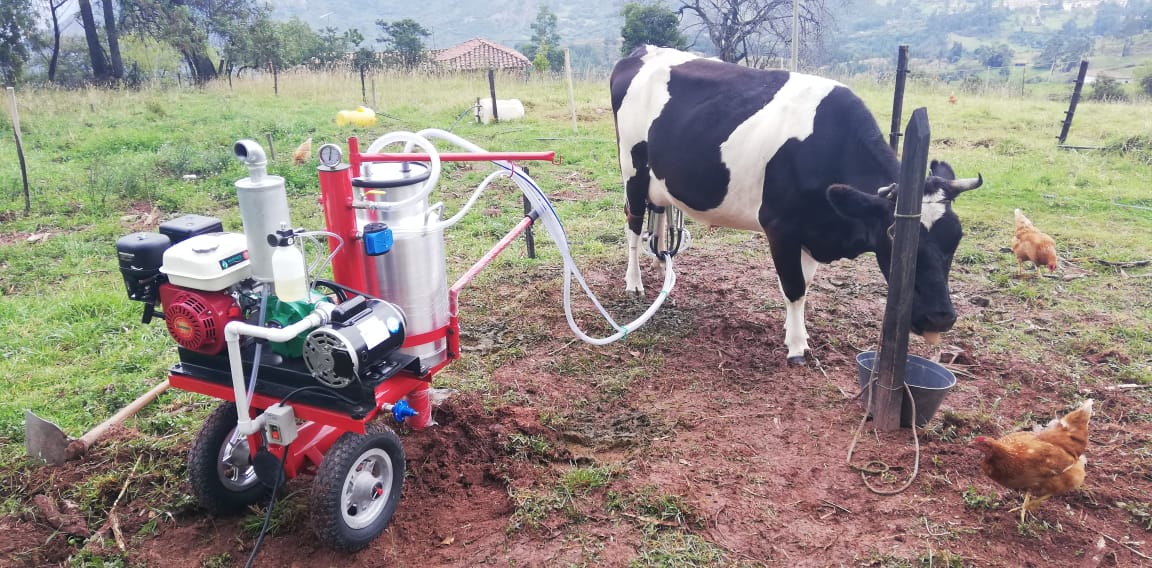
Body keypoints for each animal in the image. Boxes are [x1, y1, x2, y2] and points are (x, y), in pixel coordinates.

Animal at [612, 44, 981, 364]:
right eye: (893, 234)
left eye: (957, 236)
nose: (940, 317)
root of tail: (644, 50)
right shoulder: (781, 226)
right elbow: (794, 286)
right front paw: (796, 347)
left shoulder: (812, 231)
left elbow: (804, 285)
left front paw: (794, 331)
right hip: (632, 169)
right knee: (633, 224)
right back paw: (634, 283)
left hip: (659, 182)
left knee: (658, 219)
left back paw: (661, 268)